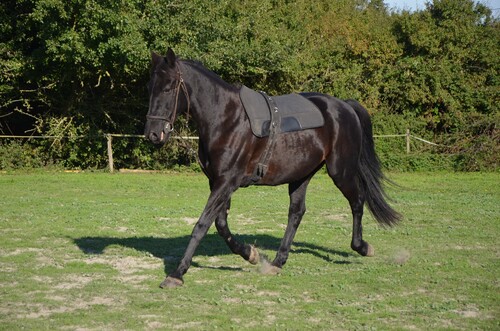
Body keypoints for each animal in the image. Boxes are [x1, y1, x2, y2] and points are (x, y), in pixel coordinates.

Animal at [145, 48, 402, 290]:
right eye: (150, 87)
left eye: (169, 87)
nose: (153, 134)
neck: (226, 119)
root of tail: (345, 107)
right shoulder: (218, 183)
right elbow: (220, 224)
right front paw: (250, 254)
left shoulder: (226, 183)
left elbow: (202, 225)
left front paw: (177, 273)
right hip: (302, 175)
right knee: (296, 213)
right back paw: (278, 261)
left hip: (341, 172)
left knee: (357, 202)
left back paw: (362, 247)